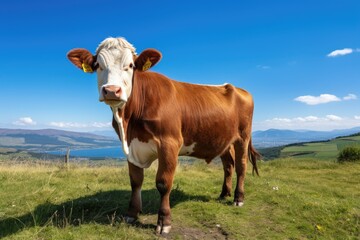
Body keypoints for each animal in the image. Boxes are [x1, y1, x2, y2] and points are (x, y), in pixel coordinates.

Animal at [67, 37, 258, 234]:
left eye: (130, 65)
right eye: (98, 65)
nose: (112, 90)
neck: (129, 122)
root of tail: (237, 88)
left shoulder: (169, 143)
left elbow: (163, 183)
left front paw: (164, 222)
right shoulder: (131, 146)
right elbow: (135, 181)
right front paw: (132, 213)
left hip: (243, 137)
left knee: (241, 166)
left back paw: (238, 198)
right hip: (224, 140)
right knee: (228, 165)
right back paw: (224, 194)